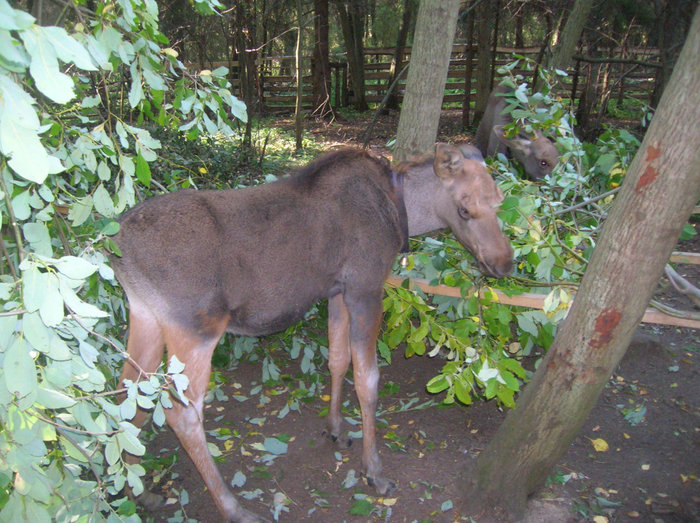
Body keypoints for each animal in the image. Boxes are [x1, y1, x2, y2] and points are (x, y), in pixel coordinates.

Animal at [110, 143, 516, 523]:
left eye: (499, 200)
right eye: (464, 209)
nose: (504, 262)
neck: (401, 213)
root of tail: (115, 248)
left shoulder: (336, 292)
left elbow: (337, 359)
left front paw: (335, 428)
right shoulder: (366, 287)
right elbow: (368, 380)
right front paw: (374, 471)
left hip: (146, 317)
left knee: (128, 394)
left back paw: (136, 494)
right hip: (196, 328)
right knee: (183, 414)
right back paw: (233, 507)